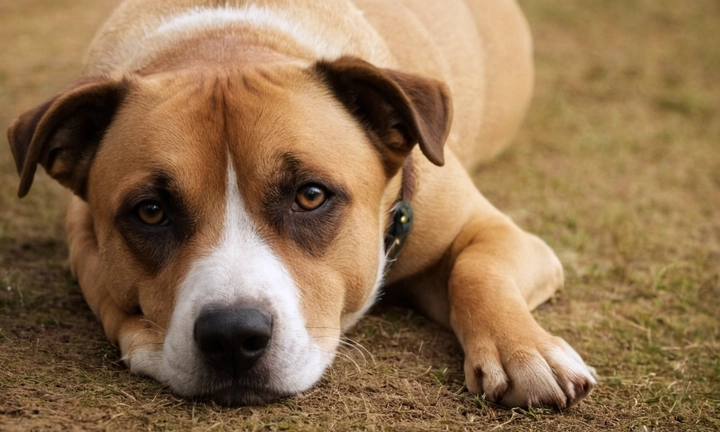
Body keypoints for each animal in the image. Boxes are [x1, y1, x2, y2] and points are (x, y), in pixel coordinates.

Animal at [7, 0, 596, 408]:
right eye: (150, 211)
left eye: (310, 196)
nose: (232, 336)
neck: (229, 39)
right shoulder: (82, 237)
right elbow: (112, 304)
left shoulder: (492, 230)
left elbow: (478, 267)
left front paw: (526, 353)